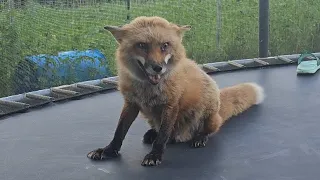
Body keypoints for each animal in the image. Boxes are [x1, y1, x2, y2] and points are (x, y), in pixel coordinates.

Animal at [87, 16, 264, 167]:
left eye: (165, 45)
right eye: (142, 45)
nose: (158, 67)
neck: (148, 90)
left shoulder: (171, 105)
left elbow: (163, 136)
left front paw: (155, 155)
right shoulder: (131, 104)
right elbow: (119, 132)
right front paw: (109, 151)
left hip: (208, 111)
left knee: (210, 129)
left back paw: (200, 137)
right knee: (160, 132)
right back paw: (152, 133)